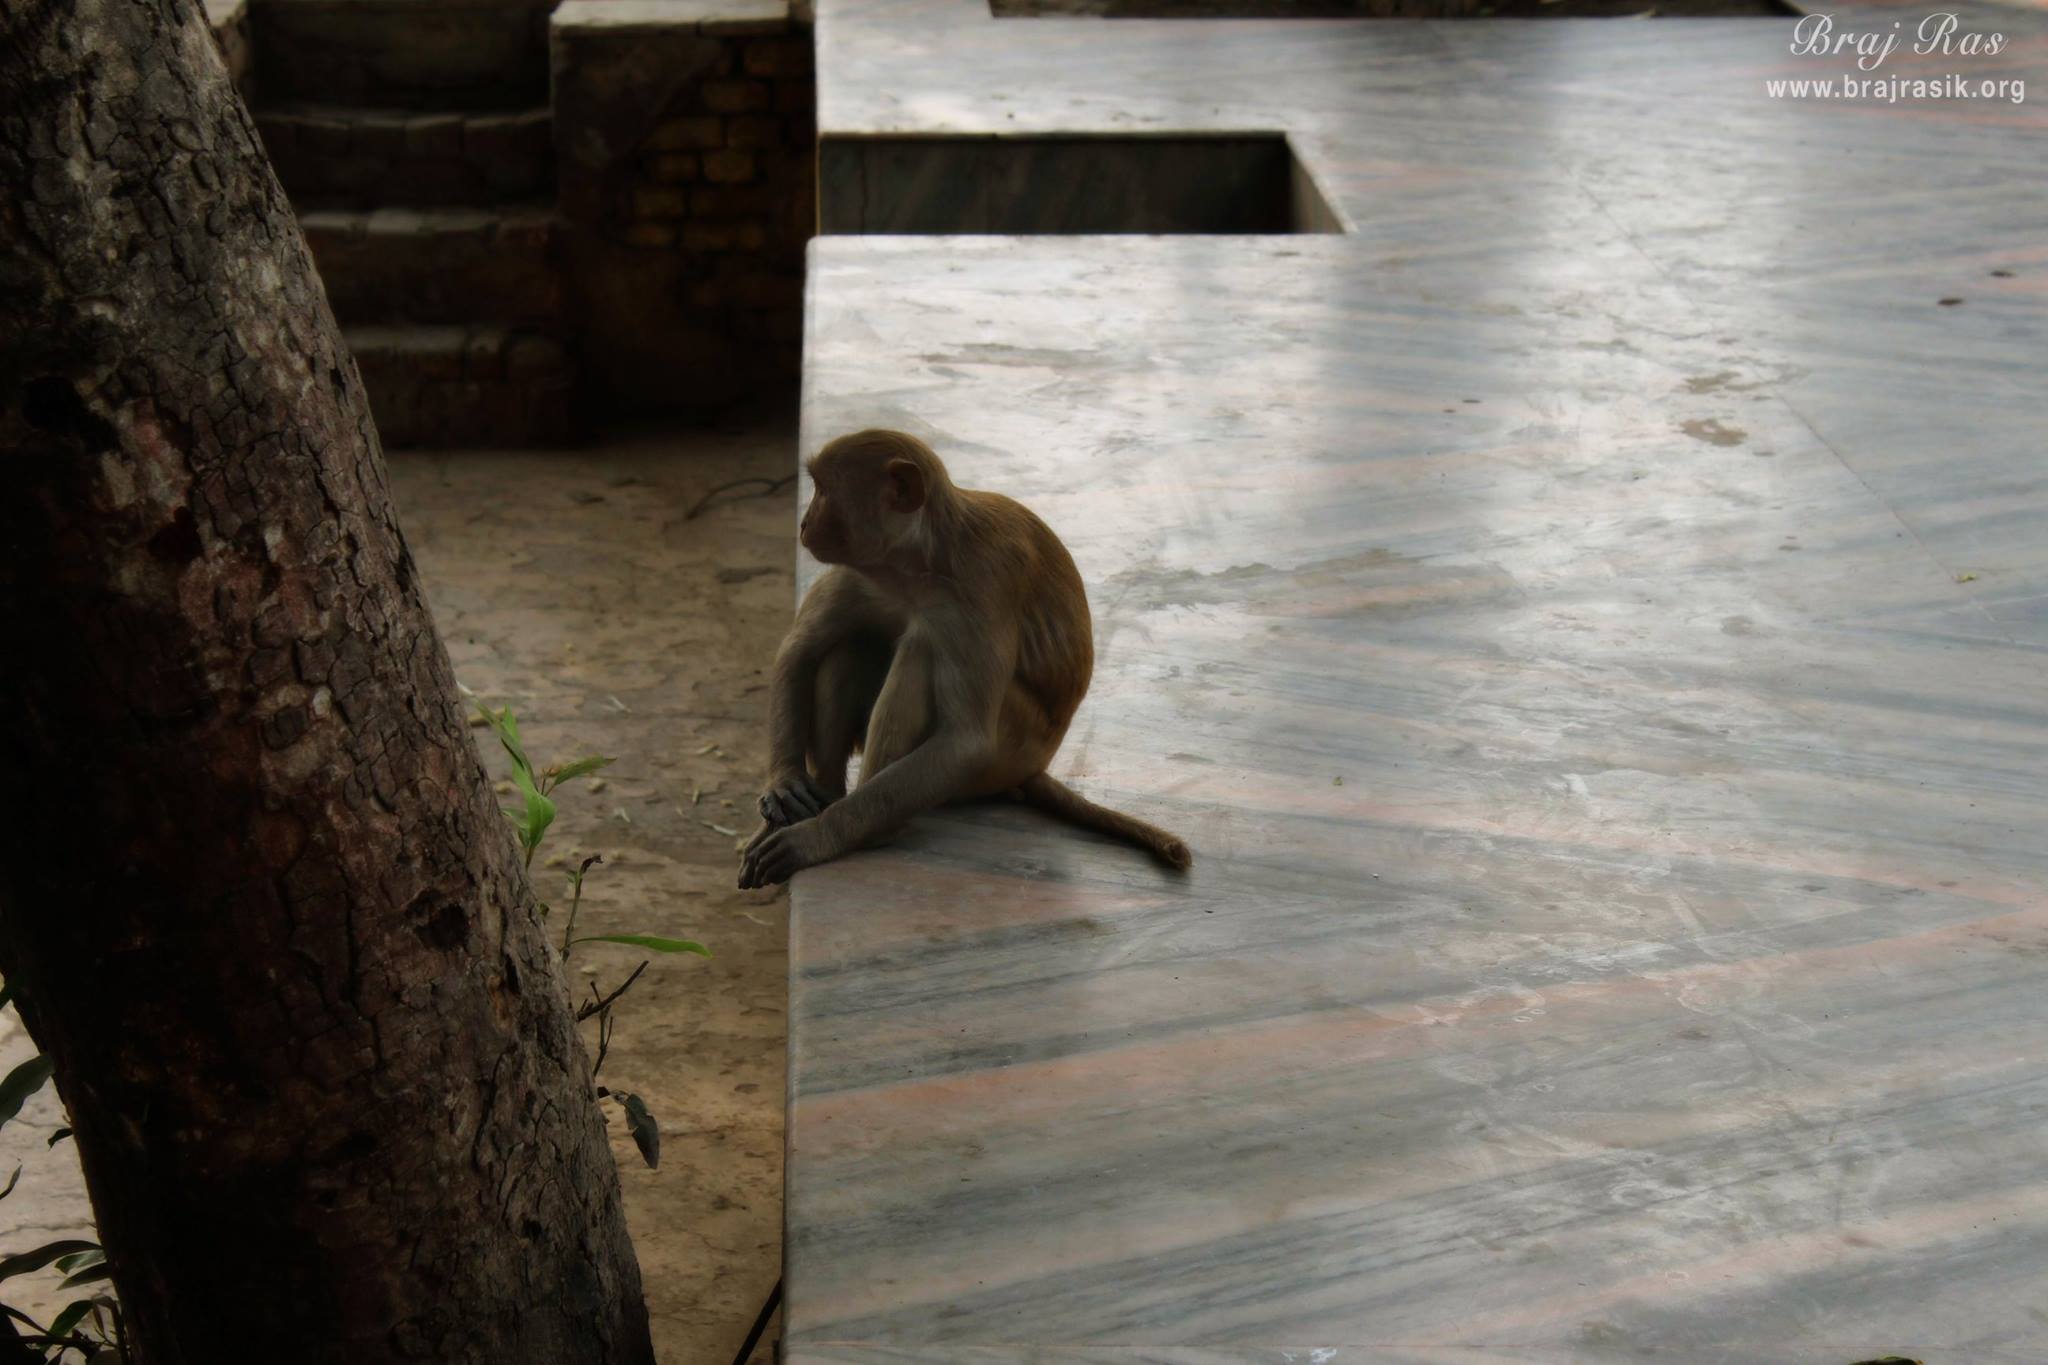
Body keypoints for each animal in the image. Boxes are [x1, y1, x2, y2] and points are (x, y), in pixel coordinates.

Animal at [736, 429, 1191, 889]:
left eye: (825, 491)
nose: (804, 524)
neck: (922, 561)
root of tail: (1034, 767)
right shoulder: (863, 568)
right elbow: (798, 653)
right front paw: (785, 784)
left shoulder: (982, 587)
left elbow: (966, 744)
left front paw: (815, 836)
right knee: (852, 646)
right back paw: (826, 794)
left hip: (1011, 751)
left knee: (921, 651)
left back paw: (873, 830)